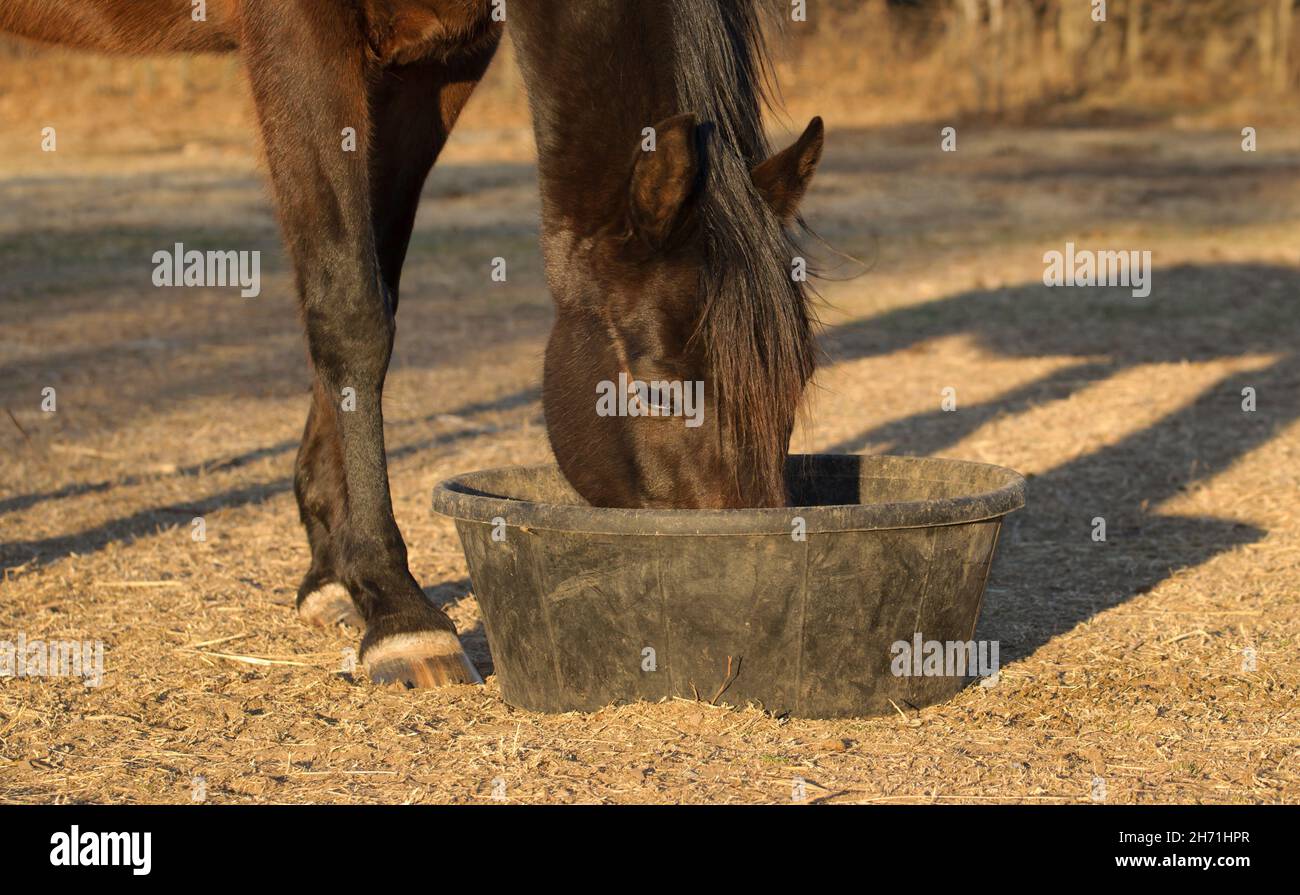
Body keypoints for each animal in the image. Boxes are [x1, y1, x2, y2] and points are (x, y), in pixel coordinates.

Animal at [2, 0, 821, 686]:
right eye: (653, 383)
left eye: (800, 378)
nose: (747, 600)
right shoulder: (298, 34)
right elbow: (351, 307)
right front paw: (399, 611)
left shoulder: (431, 63)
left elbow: (376, 282)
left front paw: (334, 572)